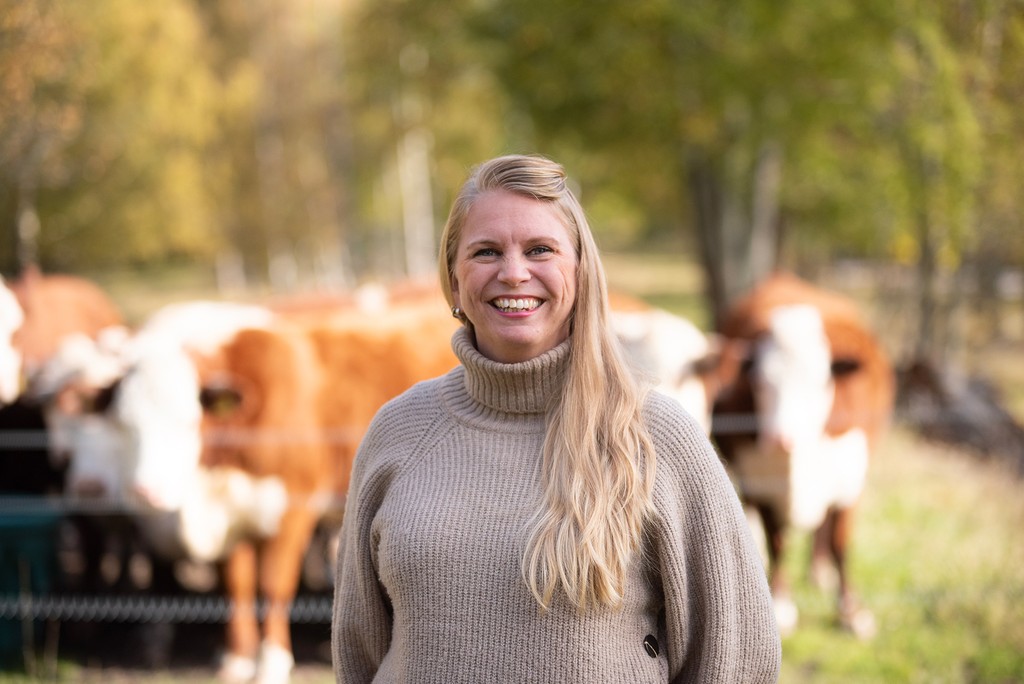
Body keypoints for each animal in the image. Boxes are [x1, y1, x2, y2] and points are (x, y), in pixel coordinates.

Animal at [708, 272, 892, 643]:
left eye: (821, 382)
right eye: (760, 382)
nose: (782, 438)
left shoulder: (849, 479)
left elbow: (840, 544)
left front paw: (851, 612)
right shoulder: (761, 482)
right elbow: (777, 542)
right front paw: (781, 605)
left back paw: (819, 571)